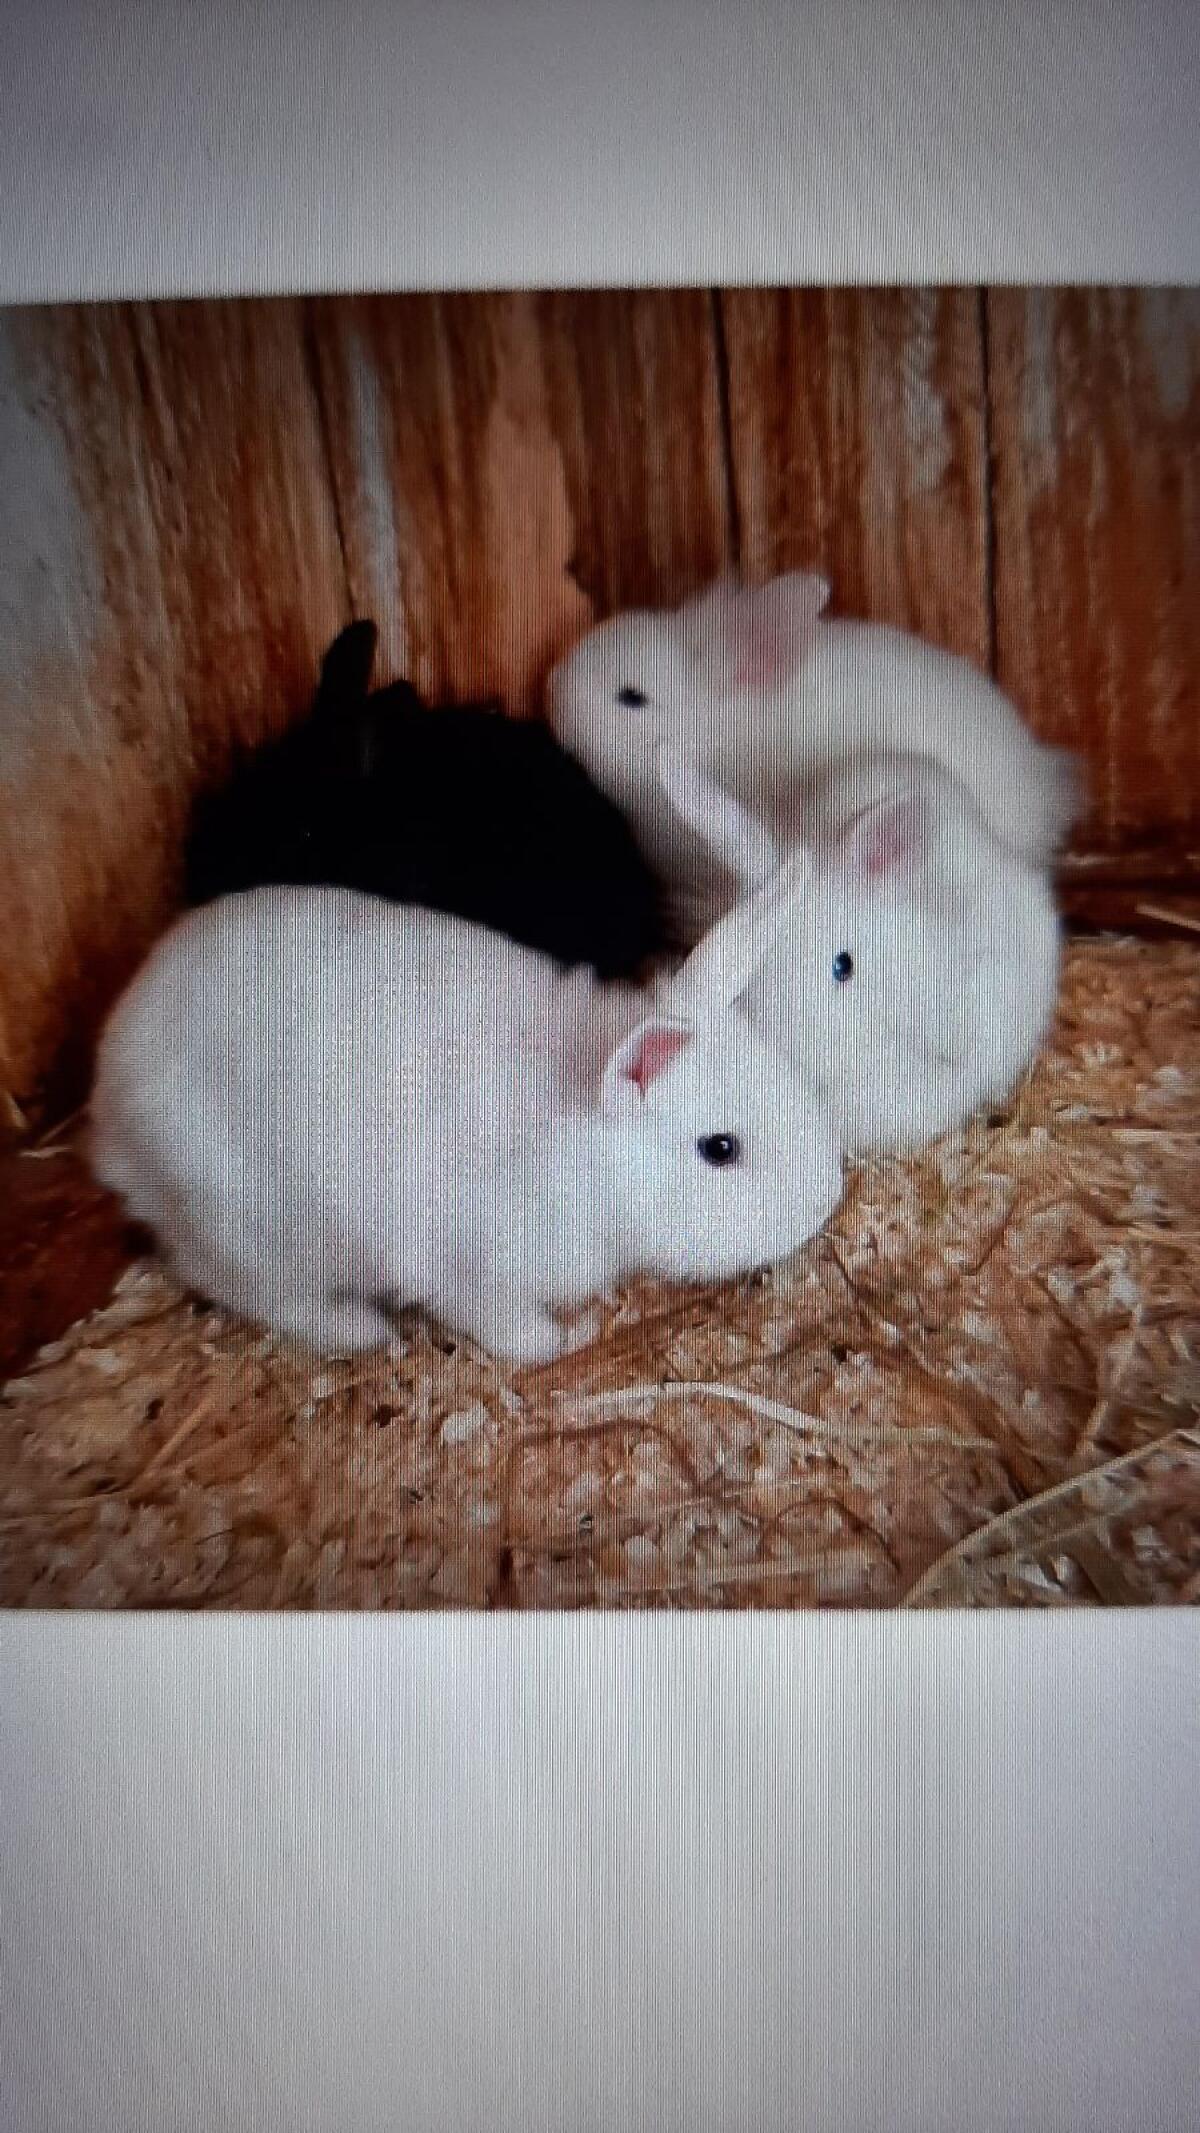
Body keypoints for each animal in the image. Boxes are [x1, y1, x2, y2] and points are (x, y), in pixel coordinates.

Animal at [88, 848, 845, 1368]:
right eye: (720, 1149)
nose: (823, 1202)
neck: (590, 1157)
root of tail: (109, 1113)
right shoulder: (478, 1275)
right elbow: (515, 1334)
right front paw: (572, 1337)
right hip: (258, 1230)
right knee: (238, 1285)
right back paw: (362, 1330)